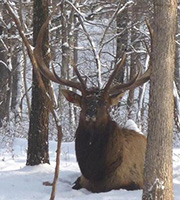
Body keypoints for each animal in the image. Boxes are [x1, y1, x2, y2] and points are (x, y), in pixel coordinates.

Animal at [34, 18, 150, 193]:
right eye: (83, 103)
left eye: (105, 104)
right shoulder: (82, 180)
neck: (96, 172)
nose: (90, 113)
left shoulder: (135, 182)